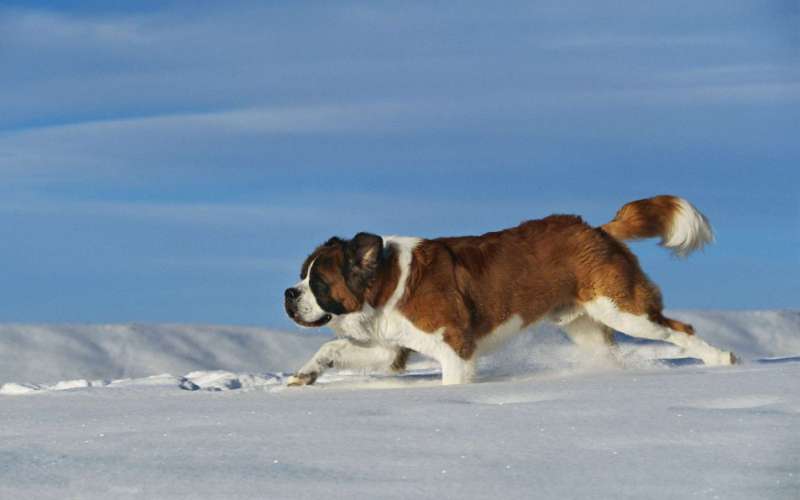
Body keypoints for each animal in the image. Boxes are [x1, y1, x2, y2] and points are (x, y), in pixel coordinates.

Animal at [284, 195, 736, 386]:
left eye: (318, 282)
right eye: (302, 276)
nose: (289, 293)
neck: (386, 282)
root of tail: (595, 229)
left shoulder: (455, 347)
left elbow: (453, 379)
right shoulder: (391, 347)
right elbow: (332, 348)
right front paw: (306, 374)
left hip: (624, 309)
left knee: (679, 330)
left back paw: (723, 360)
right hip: (586, 326)